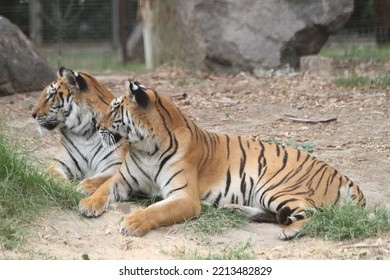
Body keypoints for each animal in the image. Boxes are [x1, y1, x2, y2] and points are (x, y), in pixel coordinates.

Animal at [31, 67, 127, 195]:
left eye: (51, 95)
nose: (33, 114)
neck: (84, 134)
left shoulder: (116, 164)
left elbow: (102, 178)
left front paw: (85, 186)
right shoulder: (59, 163)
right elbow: (55, 176)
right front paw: (64, 185)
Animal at [78, 80, 366, 240]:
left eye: (115, 108)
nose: (97, 126)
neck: (145, 146)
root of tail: (345, 177)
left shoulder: (184, 197)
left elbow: (156, 210)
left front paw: (133, 222)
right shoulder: (124, 179)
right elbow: (104, 187)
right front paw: (88, 204)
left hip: (276, 188)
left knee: (315, 215)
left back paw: (289, 231)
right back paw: (234, 209)